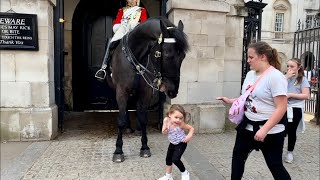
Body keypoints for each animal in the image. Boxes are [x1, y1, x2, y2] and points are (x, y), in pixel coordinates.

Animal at [105, 16, 188, 162]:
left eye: (183, 56)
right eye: (167, 54)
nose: (172, 91)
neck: (135, 57)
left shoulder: (145, 92)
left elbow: (143, 119)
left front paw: (144, 147)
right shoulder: (121, 91)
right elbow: (120, 119)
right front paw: (118, 150)